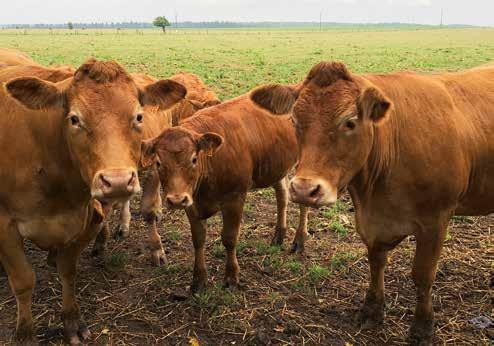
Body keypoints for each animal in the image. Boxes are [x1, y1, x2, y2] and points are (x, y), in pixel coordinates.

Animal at [0, 58, 186, 344]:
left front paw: (72, 321)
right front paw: (25, 334)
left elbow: (68, 270)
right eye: (74, 119)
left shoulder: (86, 217)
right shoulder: (5, 225)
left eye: (138, 116)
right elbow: (23, 280)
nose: (118, 180)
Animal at [139, 94, 308, 292]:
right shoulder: (191, 203)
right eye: (158, 162)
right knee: (282, 196)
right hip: (276, 167)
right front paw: (199, 279)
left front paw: (231, 276)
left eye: (194, 159)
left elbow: (229, 238)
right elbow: (198, 239)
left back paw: (299, 240)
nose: (176, 200)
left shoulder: (234, 198)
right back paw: (279, 235)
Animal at [249, 61, 494, 344]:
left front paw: (422, 328)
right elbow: (376, 263)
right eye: (294, 121)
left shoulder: (436, 220)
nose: (304, 189)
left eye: (350, 122)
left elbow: (422, 275)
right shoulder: (370, 220)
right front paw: (372, 311)